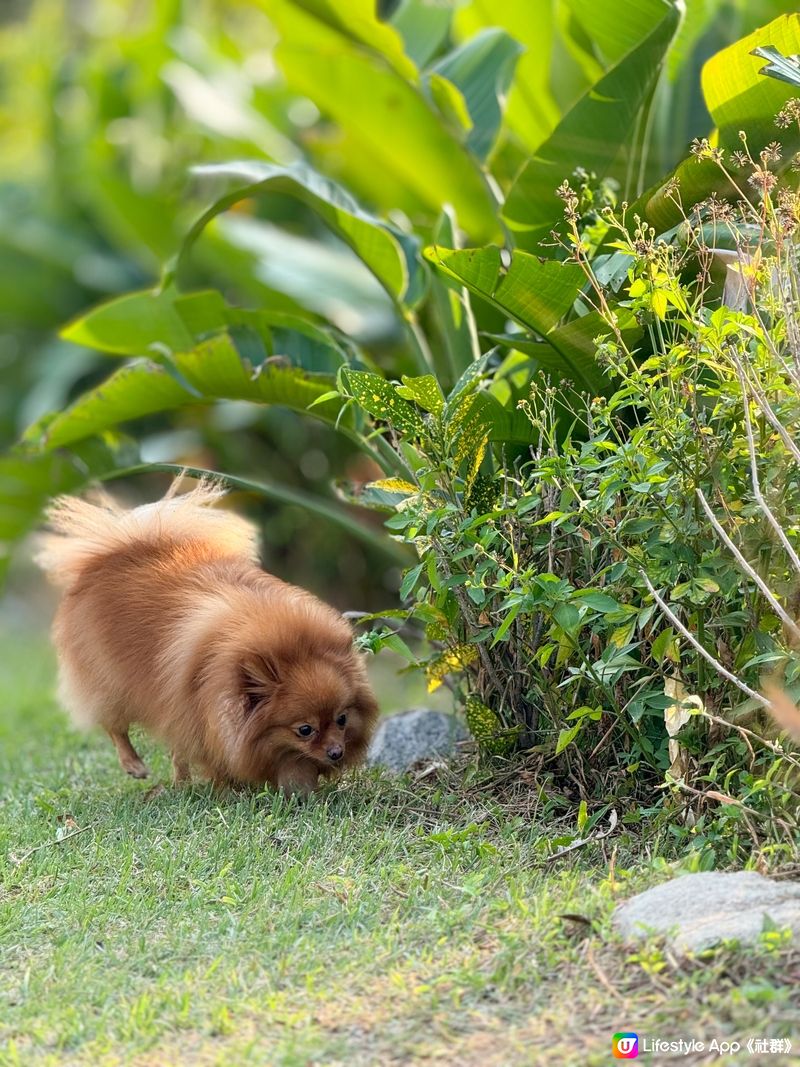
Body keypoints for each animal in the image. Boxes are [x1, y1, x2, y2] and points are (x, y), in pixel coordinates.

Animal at [34, 478, 379, 793]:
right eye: (305, 730)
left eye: (342, 719)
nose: (336, 752)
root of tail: (114, 549)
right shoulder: (200, 715)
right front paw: (229, 790)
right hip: (110, 682)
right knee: (114, 725)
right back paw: (135, 765)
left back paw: (181, 782)